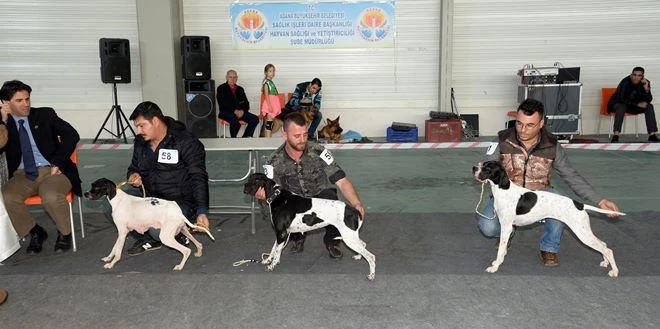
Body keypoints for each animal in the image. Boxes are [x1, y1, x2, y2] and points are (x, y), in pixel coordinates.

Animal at [84, 178, 215, 270]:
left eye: (96, 187)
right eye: (92, 185)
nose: (85, 194)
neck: (117, 199)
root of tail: (178, 211)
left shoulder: (122, 232)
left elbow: (118, 253)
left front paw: (111, 265)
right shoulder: (121, 233)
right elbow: (114, 248)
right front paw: (108, 258)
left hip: (166, 237)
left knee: (186, 251)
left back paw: (180, 266)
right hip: (183, 230)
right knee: (197, 243)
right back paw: (198, 252)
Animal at [244, 172, 376, 280]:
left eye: (256, 180)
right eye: (250, 178)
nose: (244, 187)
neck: (277, 196)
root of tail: (353, 210)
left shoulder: (281, 233)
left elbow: (276, 252)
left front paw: (272, 265)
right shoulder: (281, 233)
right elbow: (274, 249)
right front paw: (267, 261)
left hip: (349, 237)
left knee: (371, 256)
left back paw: (371, 275)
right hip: (351, 236)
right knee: (363, 244)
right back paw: (358, 257)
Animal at [472, 161, 620, 276]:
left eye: (487, 168)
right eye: (482, 164)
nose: (474, 168)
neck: (504, 190)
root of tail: (579, 205)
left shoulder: (506, 227)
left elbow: (500, 250)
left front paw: (495, 267)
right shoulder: (507, 227)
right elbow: (503, 250)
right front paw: (498, 262)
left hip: (582, 232)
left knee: (607, 249)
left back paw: (615, 271)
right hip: (584, 231)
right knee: (603, 245)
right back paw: (605, 262)